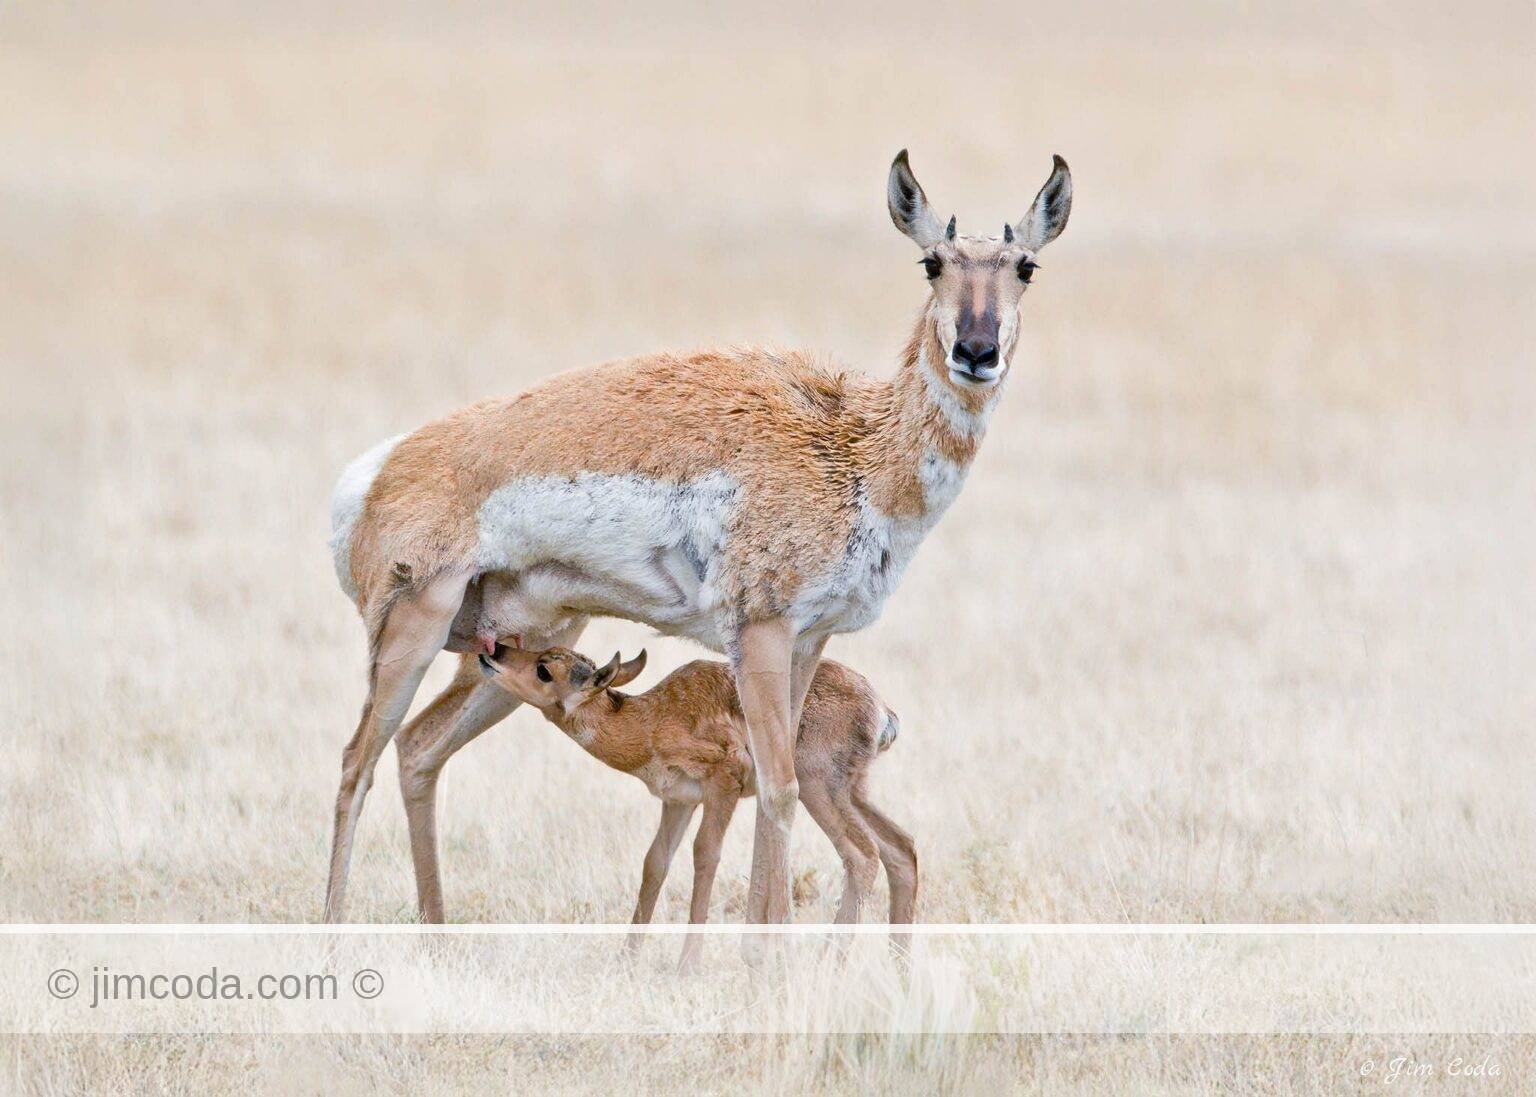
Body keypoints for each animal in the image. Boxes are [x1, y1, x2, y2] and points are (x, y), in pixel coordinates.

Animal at [322, 149, 1072, 923]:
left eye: (1026, 266)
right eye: (931, 262)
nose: (977, 351)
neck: (848, 445)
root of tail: (380, 469)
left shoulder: (808, 642)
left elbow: (771, 796)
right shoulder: (760, 635)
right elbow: (777, 791)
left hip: (517, 648)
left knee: (418, 749)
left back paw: (436, 932)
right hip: (415, 631)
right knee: (356, 763)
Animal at [473, 642, 915, 965]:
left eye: (545, 670)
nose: (493, 652)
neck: (652, 717)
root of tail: (881, 710)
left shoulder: (723, 784)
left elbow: (705, 855)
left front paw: (687, 965)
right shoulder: (678, 802)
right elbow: (655, 863)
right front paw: (627, 960)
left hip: (816, 788)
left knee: (862, 855)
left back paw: (826, 963)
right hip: (851, 792)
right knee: (902, 849)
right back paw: (899, 967)